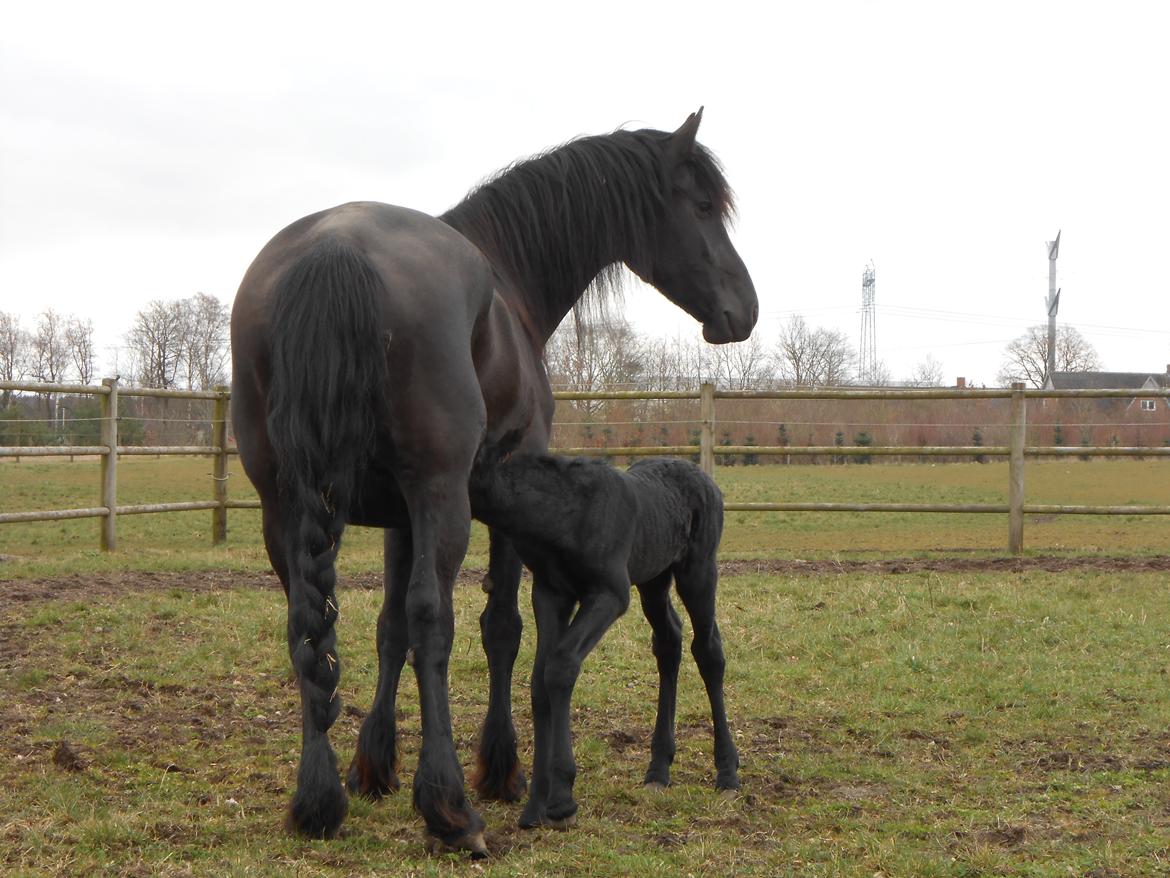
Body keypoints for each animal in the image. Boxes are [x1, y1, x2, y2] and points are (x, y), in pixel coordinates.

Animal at [467, 454, 734, 833]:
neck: (566, 509)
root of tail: (702, 476)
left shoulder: (609, 594)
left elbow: (560, 666)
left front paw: (562, 801)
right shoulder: (551, 595)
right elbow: (539, 683)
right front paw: (536, 805)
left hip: (697, 571)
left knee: (708, 650)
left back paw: (727, 773)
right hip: (654, 578)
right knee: (669, 642)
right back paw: (658, 770)